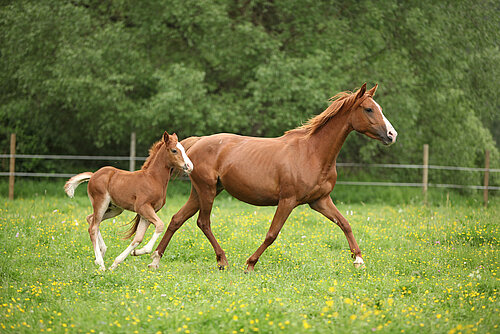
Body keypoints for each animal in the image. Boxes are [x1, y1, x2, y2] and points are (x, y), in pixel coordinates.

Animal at [64, 132, 193, 270]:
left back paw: (102, 252)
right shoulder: (143, 207)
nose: (189, 166)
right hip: (101, 203)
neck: (153, 179)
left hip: (115, 209)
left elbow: (138, 238)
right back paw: (101, 263)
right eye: (174, 150)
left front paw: (119, 261)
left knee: (90, 219)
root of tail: (93, 175)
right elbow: (159, 225)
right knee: (93, 227)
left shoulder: (147, 213)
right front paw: (142, 252)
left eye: (184, 149)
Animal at [148, 83, 398, 272]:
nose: (392, 135)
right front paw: (250, 263)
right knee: (203, 222)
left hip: (202, 192)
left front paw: (359, 260)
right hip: (207, 191)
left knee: (177, 219)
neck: (313, 153)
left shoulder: (320, 201)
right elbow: (272, 234)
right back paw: (222, 261)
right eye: (368, 109)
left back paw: (155, 260)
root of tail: (198, 142)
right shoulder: (288, 200)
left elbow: (345, 223)